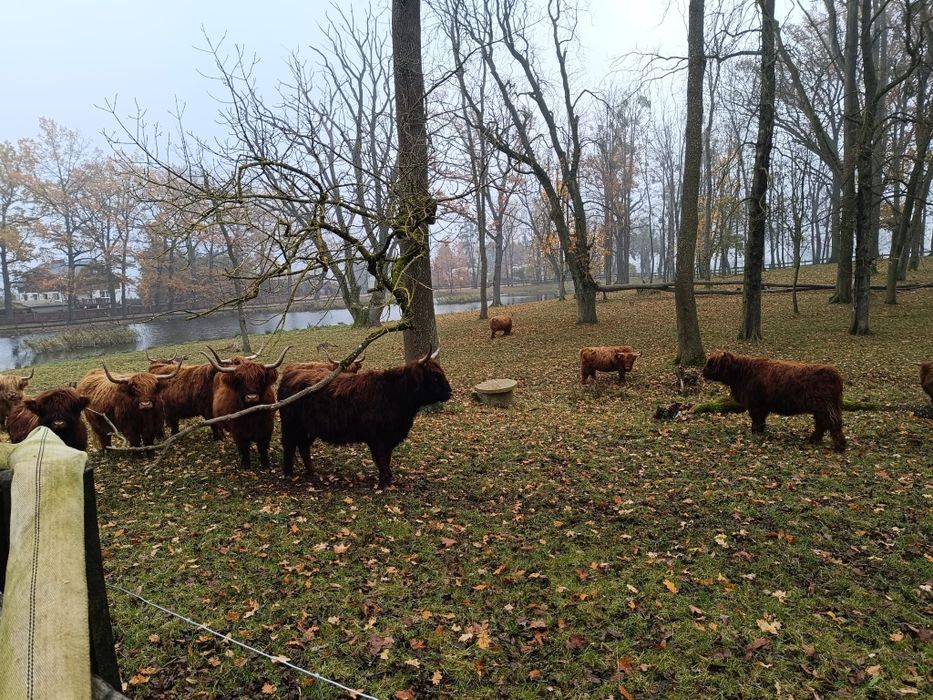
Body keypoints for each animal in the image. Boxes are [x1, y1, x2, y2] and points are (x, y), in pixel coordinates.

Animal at [277, 348, 452, 488]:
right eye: (435, 377)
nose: (450, 392)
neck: (392, 393)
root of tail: (290, 373)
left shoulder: (389, 437)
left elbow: (387, 459)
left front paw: (389, 479)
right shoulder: (377, 438)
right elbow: (381, 460)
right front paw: (384, 483)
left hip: (307, 428)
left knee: (303, 445)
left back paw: (312, 472)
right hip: (290, 424)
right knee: (289, 445)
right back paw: (288, 473)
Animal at [702, 351, 846, 451]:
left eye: (711, 363)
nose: (702, 372)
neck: (741, 373)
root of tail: (837, 375)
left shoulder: (755, 404)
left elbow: (756, 419)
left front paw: (755, 432)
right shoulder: (762, 405)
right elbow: (761, 420)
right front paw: (760, 431)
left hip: (826, 407)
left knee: (833, 423)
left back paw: (840, 446)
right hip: (821, 408)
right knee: (821, 424)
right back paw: (813, 440)